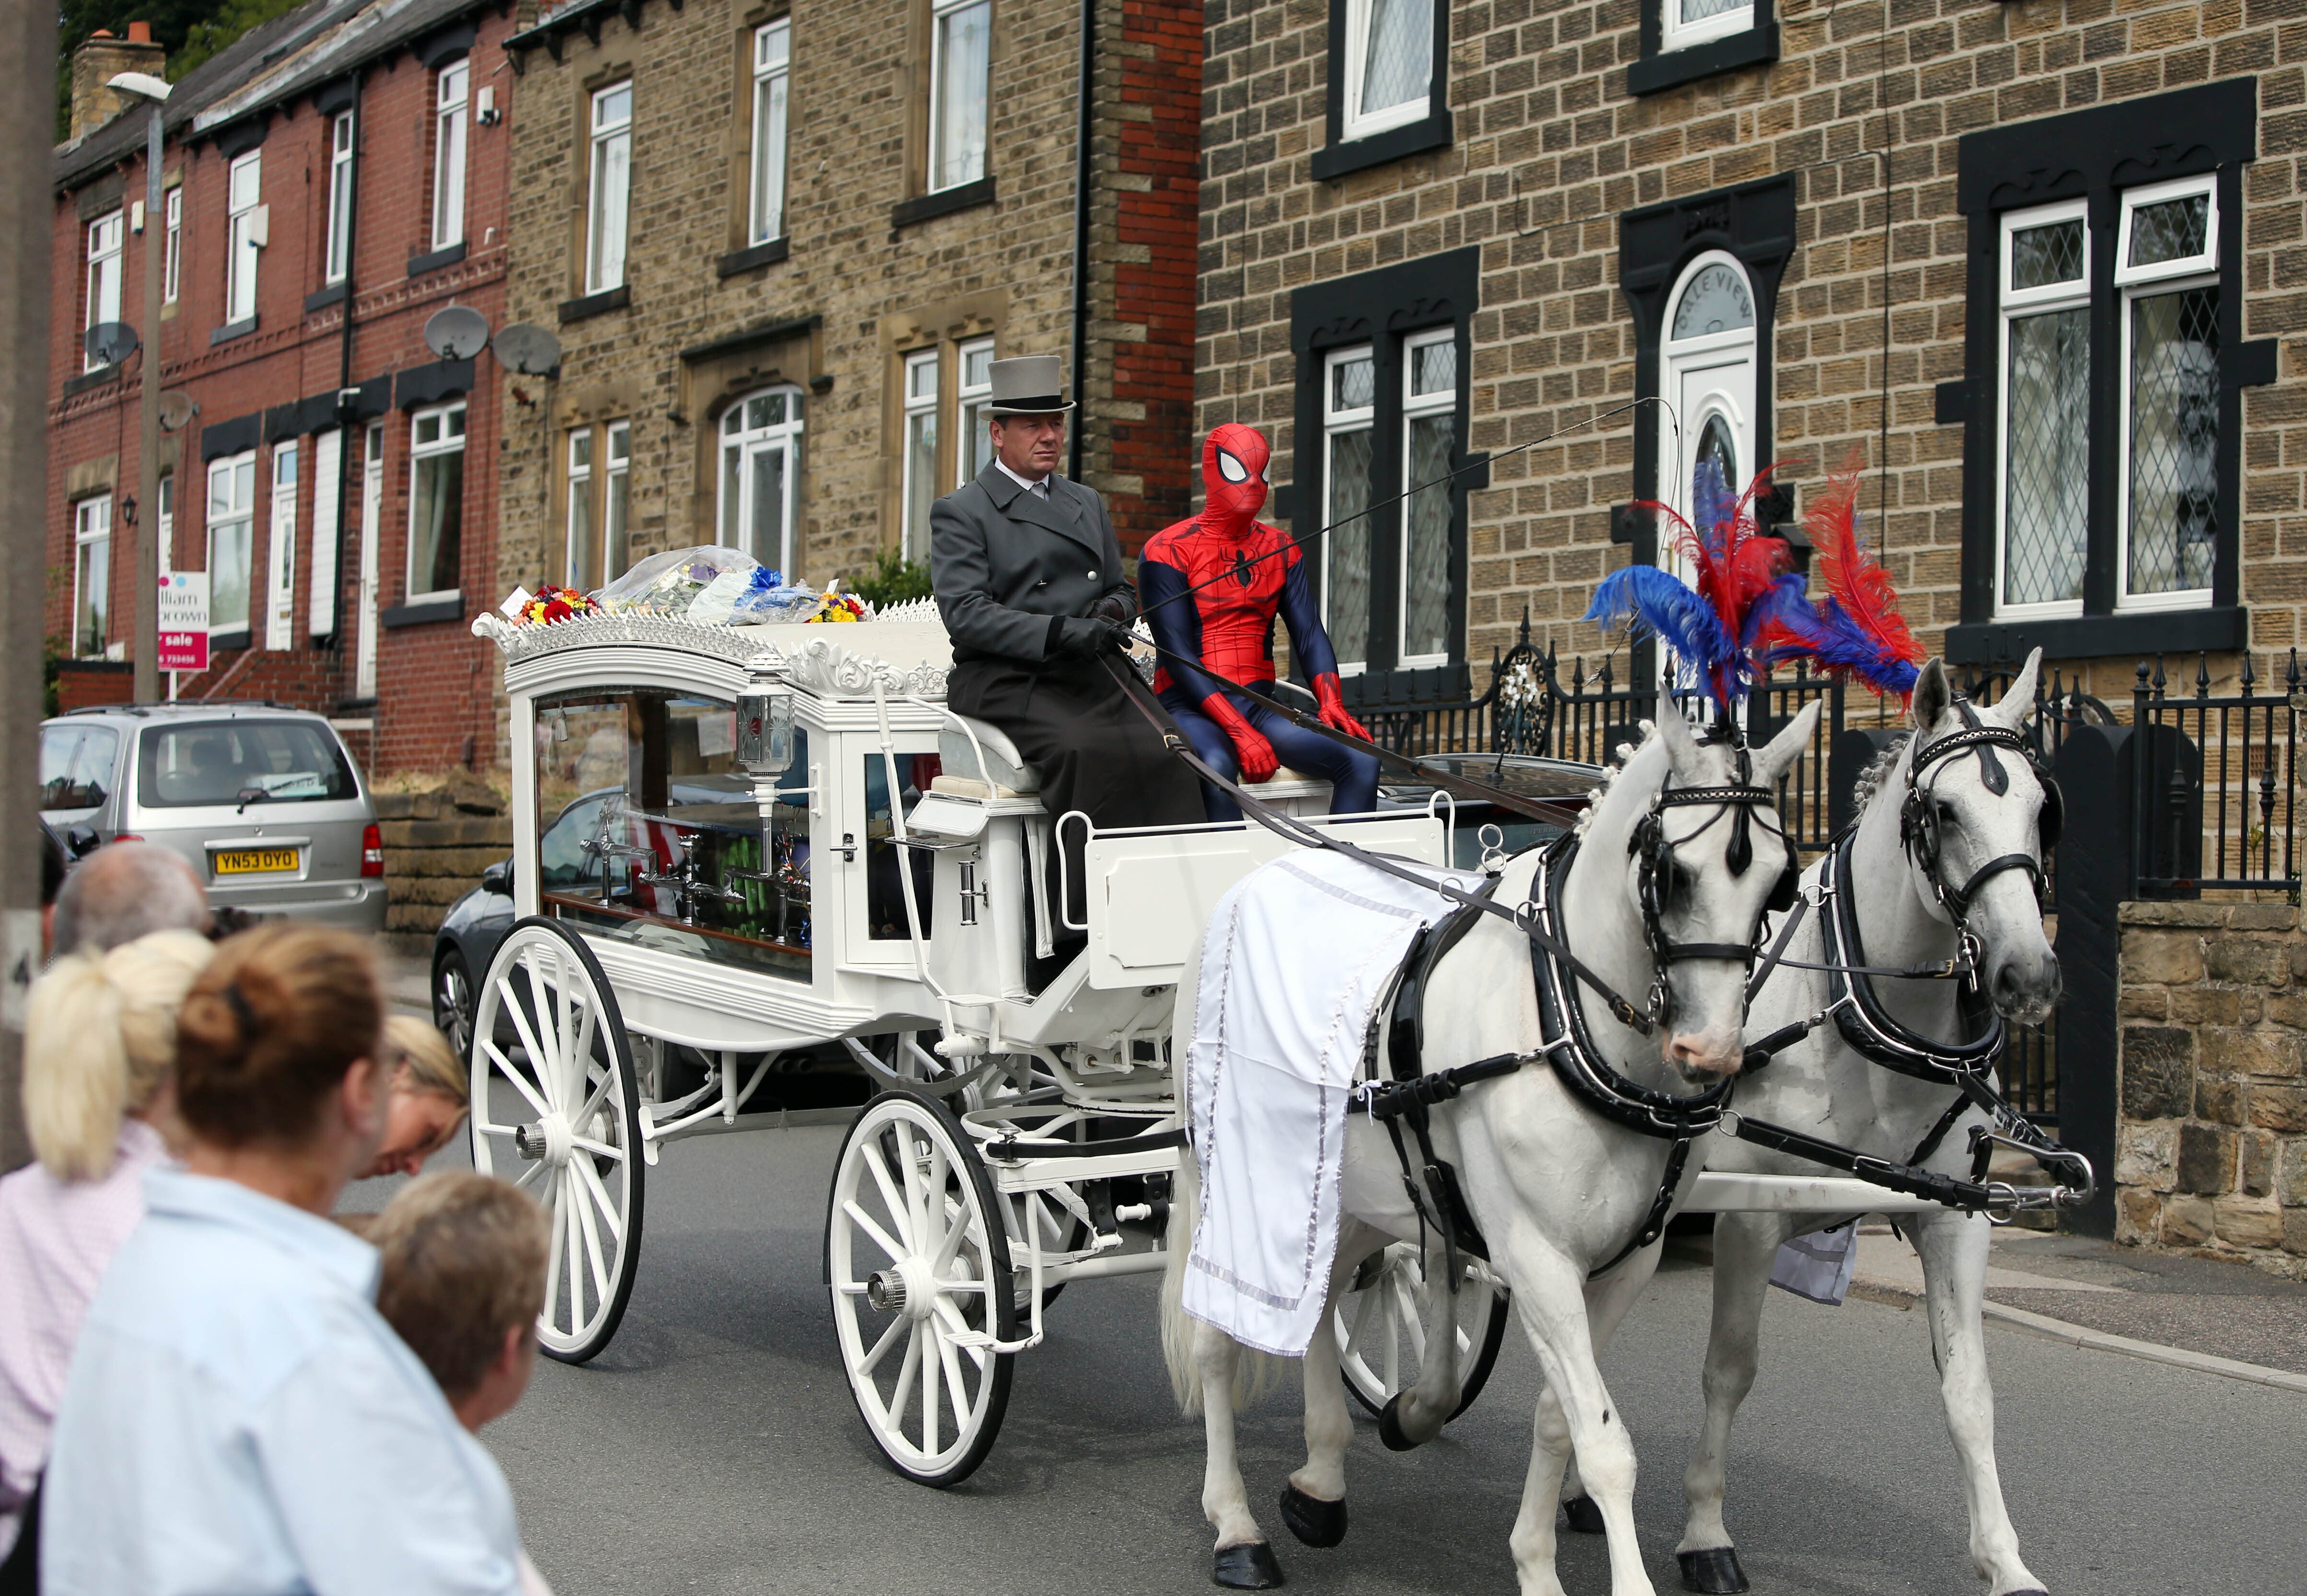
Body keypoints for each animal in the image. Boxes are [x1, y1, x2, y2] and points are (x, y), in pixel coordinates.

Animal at [1172, 696, 1818, 1596]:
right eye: (1674, 874)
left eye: (1778, 880)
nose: (1712, 1054)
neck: (1565, 1020)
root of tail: (1251, 880)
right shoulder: (1535, 1254)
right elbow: (1605, 1446)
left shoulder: (1621, 1264)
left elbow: (1561, 1417)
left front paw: (1533, 1559)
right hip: (1220, 1176)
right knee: (1213, 1339)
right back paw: (1235, 1524)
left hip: (1346, 1193)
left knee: (1323, 1299)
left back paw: (1324, 1477)